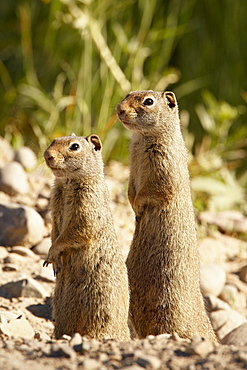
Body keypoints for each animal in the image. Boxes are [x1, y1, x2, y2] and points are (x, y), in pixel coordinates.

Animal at [43, 134, 130, 342]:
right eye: (53, 140)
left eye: (74, 147)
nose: (47, 155)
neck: (67, 183)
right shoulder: (55, 208)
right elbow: (55, 232)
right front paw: (55, 262)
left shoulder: (86, 211)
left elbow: (72, 233)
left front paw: (52, 254)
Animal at [116, 89, 216, 342]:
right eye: (128, 94)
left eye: (148, 101)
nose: (119, 109)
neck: (142, 139)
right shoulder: (132, 170)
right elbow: (130, 190)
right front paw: (134, 209)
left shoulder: (163, 169)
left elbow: (151, 191)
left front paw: (139, 209)